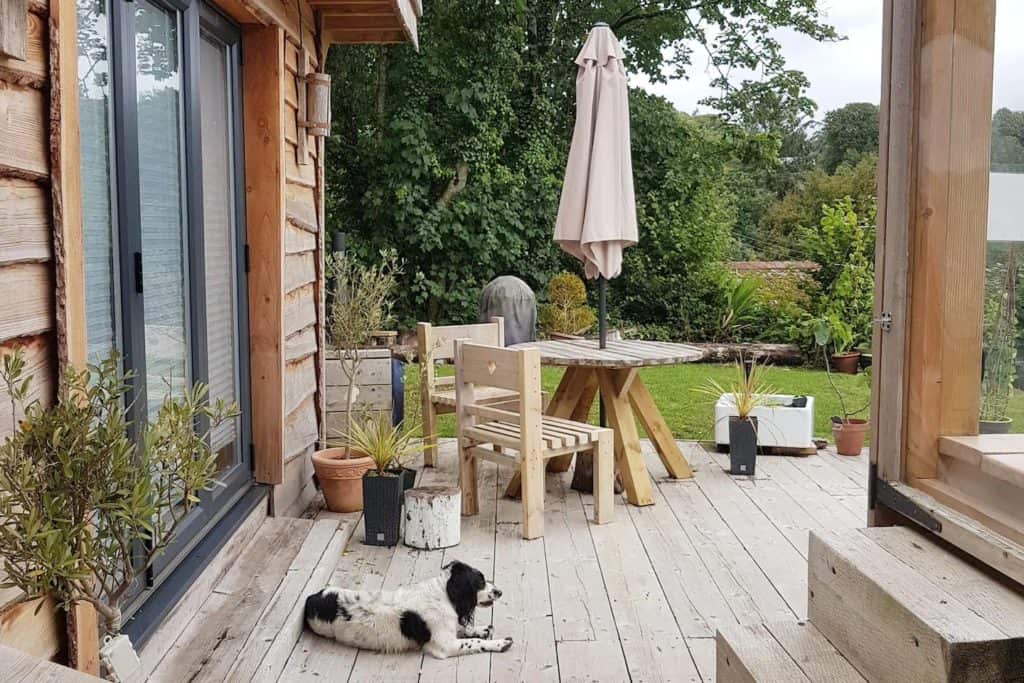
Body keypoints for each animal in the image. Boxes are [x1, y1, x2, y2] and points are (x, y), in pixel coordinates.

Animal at [303, 557, 512, 659]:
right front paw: (500, 643)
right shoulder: (444, 645)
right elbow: (474, 642)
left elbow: (464, 629)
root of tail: (312, 600)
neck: (444, 594)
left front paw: (482, 629)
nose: (500, 591)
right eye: (480, 581)